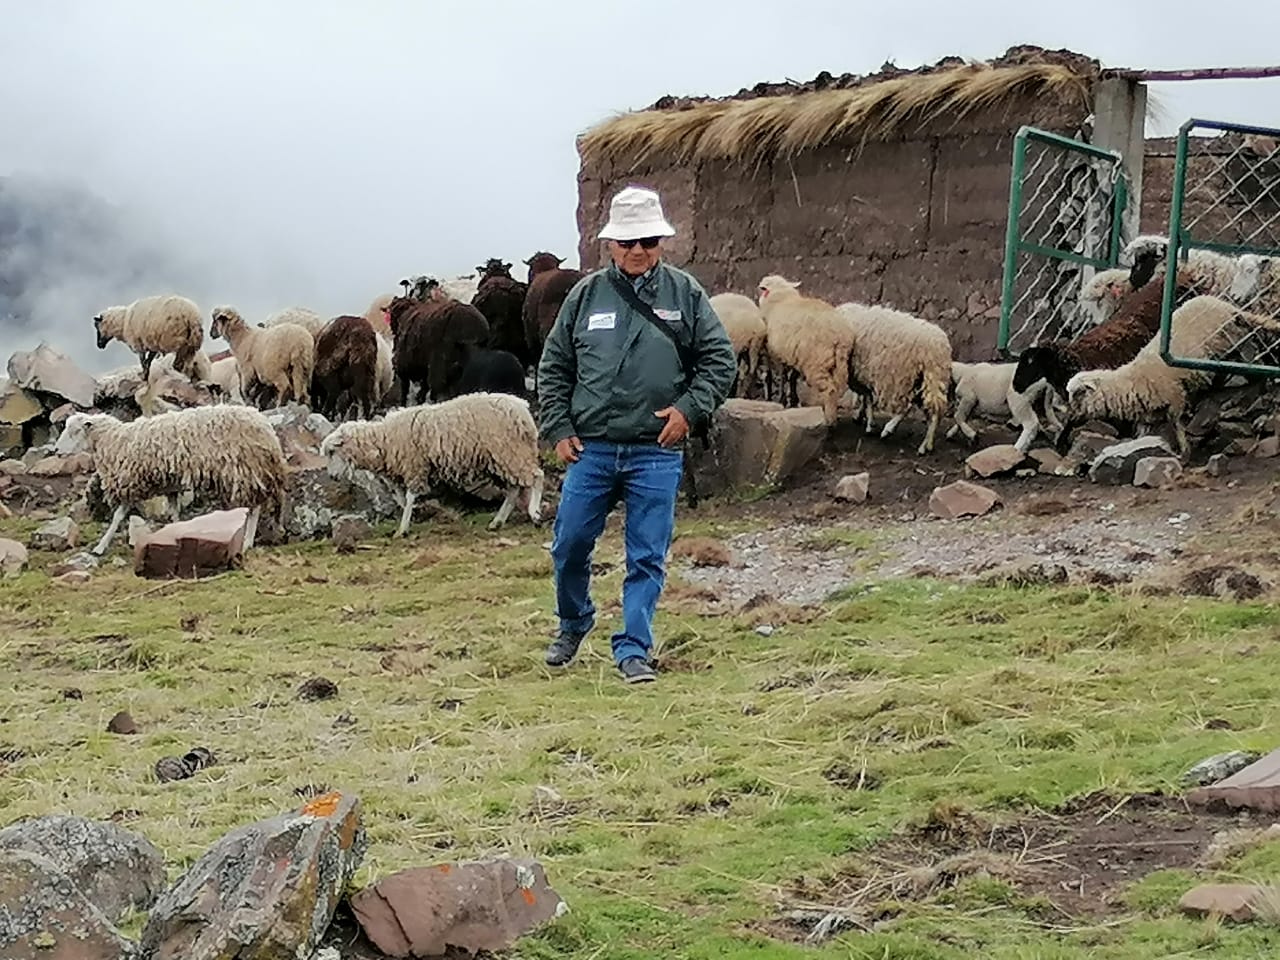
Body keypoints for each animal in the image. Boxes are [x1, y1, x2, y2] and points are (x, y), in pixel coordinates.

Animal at [53, 407, 288, 555]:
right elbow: (174, 515)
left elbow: (117, 517)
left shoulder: (131, 483)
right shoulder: (170, 486)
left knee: (253, 508)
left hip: (244, 471)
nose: (56, 450)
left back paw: (247, 542)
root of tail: (267, 428)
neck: (114, 440)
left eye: (74, 431)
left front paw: (100, 547)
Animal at [322, 391, 542, 542]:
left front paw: (403, 529)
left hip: (510, 451)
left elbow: (410, 497)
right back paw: (497, 521)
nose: (332, 477)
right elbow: (401, 500)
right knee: (514, 489)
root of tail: (523, 412)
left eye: (332, 451)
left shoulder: (415, 466)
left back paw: (534, 513)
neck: (384, 440)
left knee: (537, 477)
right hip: (500, 459)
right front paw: (410, 518)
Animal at [752, 277, 855, 427]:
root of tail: (840, 336)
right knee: (837, 388)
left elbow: (782, 376)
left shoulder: (776, 353)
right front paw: (793, 400)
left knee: (829, 389)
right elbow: (793, 377)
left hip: (816, 363)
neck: (781, 298)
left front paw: (782, 399)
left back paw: (829, 419)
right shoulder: (795, 356)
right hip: (839, 362)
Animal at [834, 300, 957, 455]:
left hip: (902, 378)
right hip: (930, 380)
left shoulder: (861, 372)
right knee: (933, 412)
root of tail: (935, 348)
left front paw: (869, 423)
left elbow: (867, 398)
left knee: (907, 407)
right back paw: (926, 445)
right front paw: (861, 416)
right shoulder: (862, 373)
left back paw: (889, 430)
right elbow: (866, 396)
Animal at [1059, 293, 1280, 458]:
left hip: (1233, 344)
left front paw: (1184, 451)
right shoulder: (1148, 416)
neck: (1132, 381)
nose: (1069, 415)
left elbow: (1177, 424)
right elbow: (1143, 434)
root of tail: (1227, 307)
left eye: (1077, 393)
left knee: (1255, 364)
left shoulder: (1176, 398)